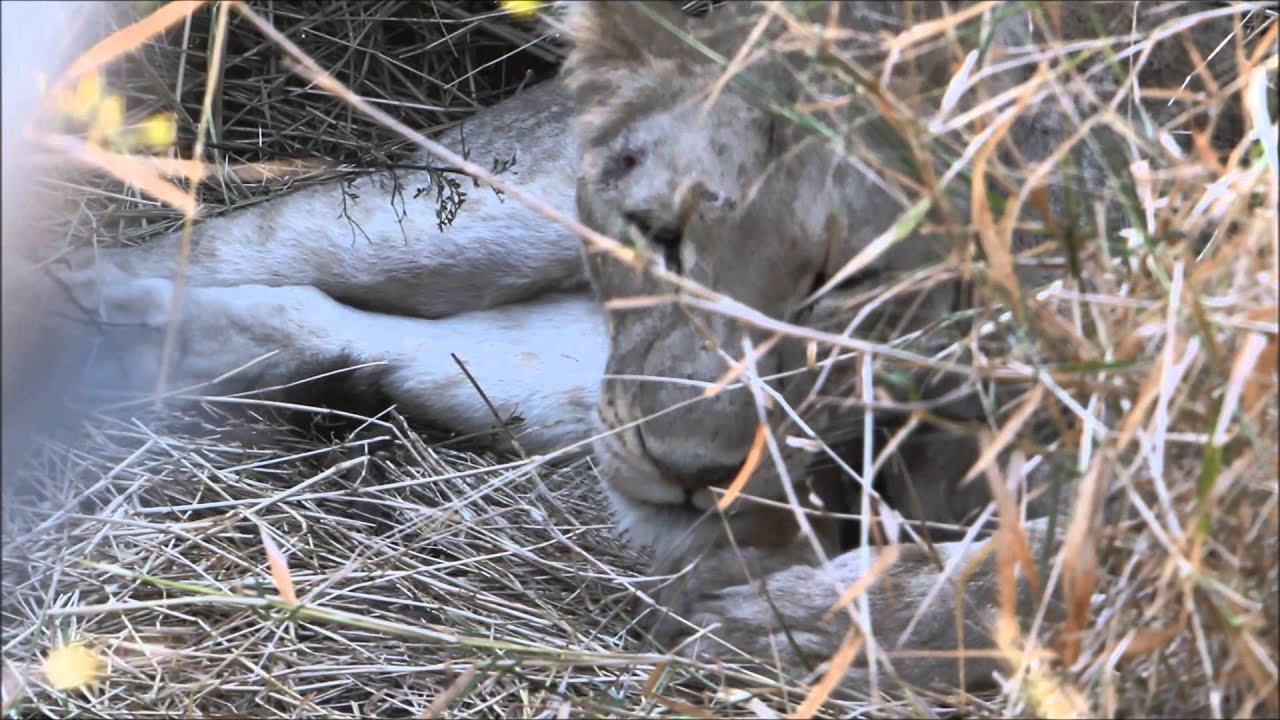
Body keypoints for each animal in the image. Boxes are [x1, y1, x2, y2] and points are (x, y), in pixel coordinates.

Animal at [23, 0, 1256, 695]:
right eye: (658, 231)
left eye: (848, 286)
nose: (687, 472)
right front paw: (783, 618)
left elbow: (1049, 577)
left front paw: (789, 620)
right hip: (472, 216)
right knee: (237, 239)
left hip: (561, 374)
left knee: (405, 339)